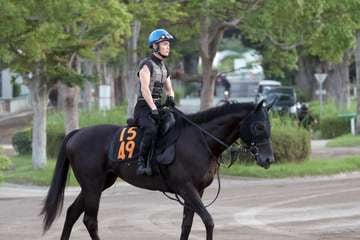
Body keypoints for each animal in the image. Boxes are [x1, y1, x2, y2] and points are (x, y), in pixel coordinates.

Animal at [40, 100, 274, 239]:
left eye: (269, 126)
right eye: (259, 126)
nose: (268, 158)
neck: (200, 140)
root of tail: (76, 133)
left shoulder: (196, 191)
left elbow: (187, 224)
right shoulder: (186, 188)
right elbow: (208, 221)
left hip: (97, 184)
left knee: (72, 213)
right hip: (93, 185)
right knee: (90, 220)